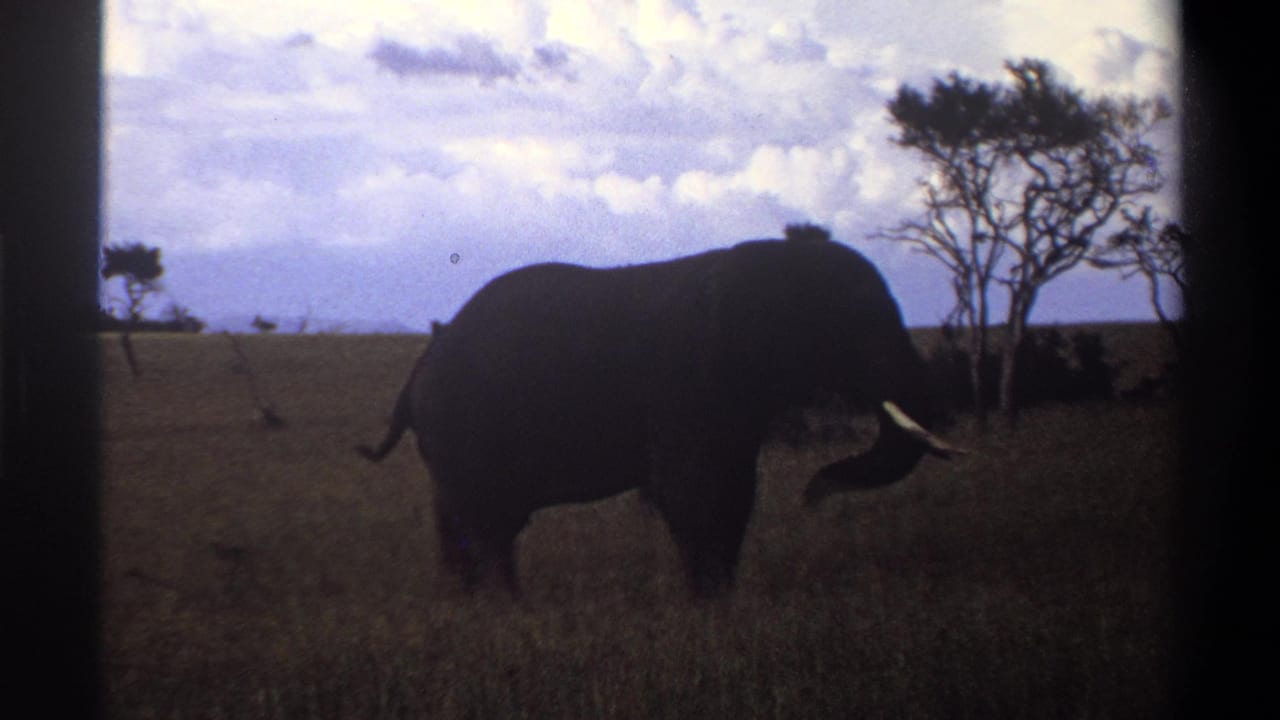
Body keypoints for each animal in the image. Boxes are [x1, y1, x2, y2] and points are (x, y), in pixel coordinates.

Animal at [358, 232, 959, 597]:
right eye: (851, 325)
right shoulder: (689, 380)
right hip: (465, 427)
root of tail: (423, 361)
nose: (813, 493)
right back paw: (508, 609)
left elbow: (734, 492)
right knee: (488, 523)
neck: (766, 263)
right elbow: (696, 491)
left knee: (465, 523)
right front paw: (709, 607)